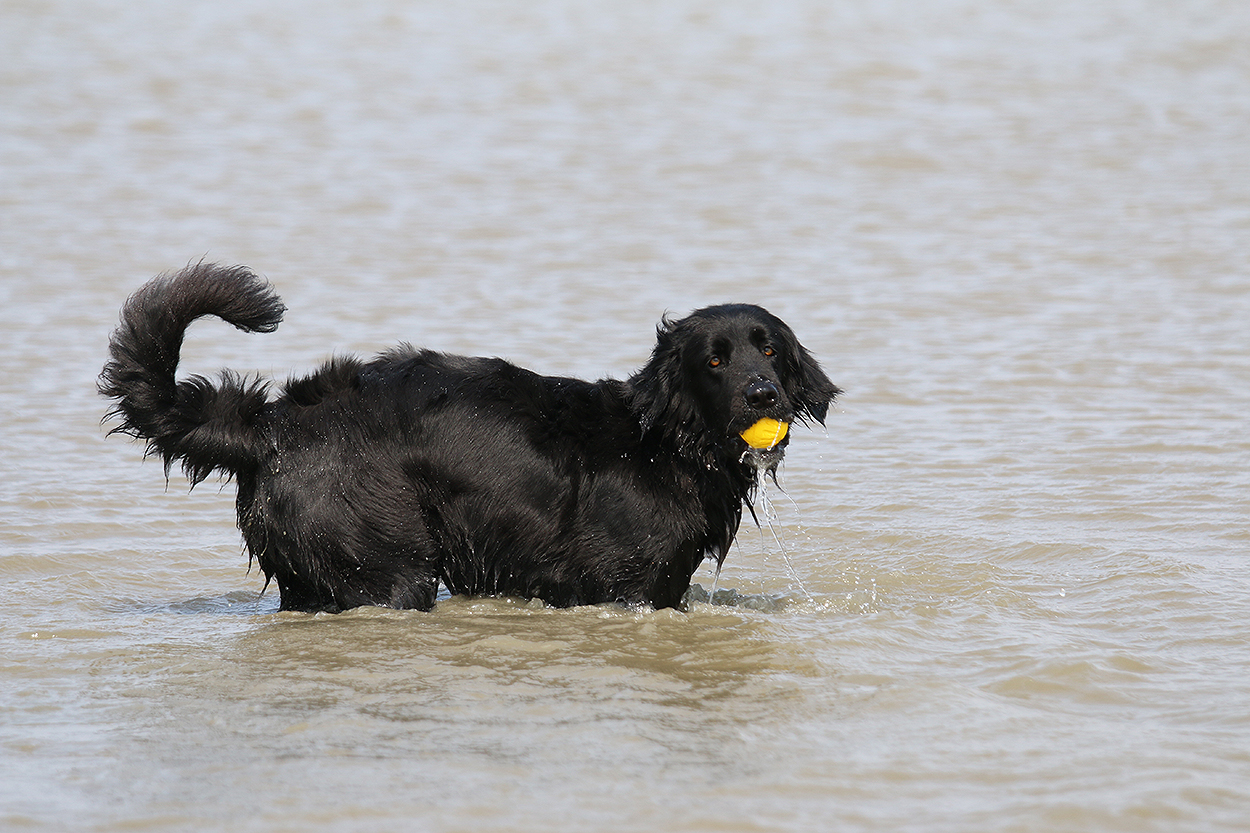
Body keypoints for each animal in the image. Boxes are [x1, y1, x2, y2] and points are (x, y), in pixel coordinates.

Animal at [100, 262, 839, 612]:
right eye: (714, 360)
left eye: (768, 349)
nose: (763, 394)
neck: (664, 440)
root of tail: (276, 422)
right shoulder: (624, 588)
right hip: (389, 570)